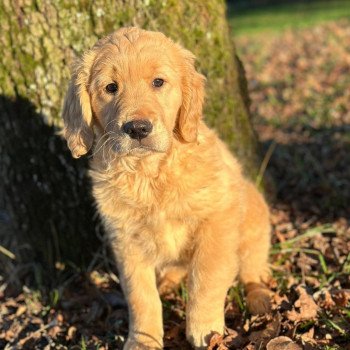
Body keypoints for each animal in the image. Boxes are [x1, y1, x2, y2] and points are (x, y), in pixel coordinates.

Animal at [62, 26, 270, 348]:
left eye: (158, 82)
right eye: (111, 87)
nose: (137, 128)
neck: (149, 173)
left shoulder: (217, 221)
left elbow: (206, 278)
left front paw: (204, 330)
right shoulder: (126, 242)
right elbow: (140, 296)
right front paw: (143, 340)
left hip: (254, 225)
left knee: (253, 271)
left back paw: (260, 299)